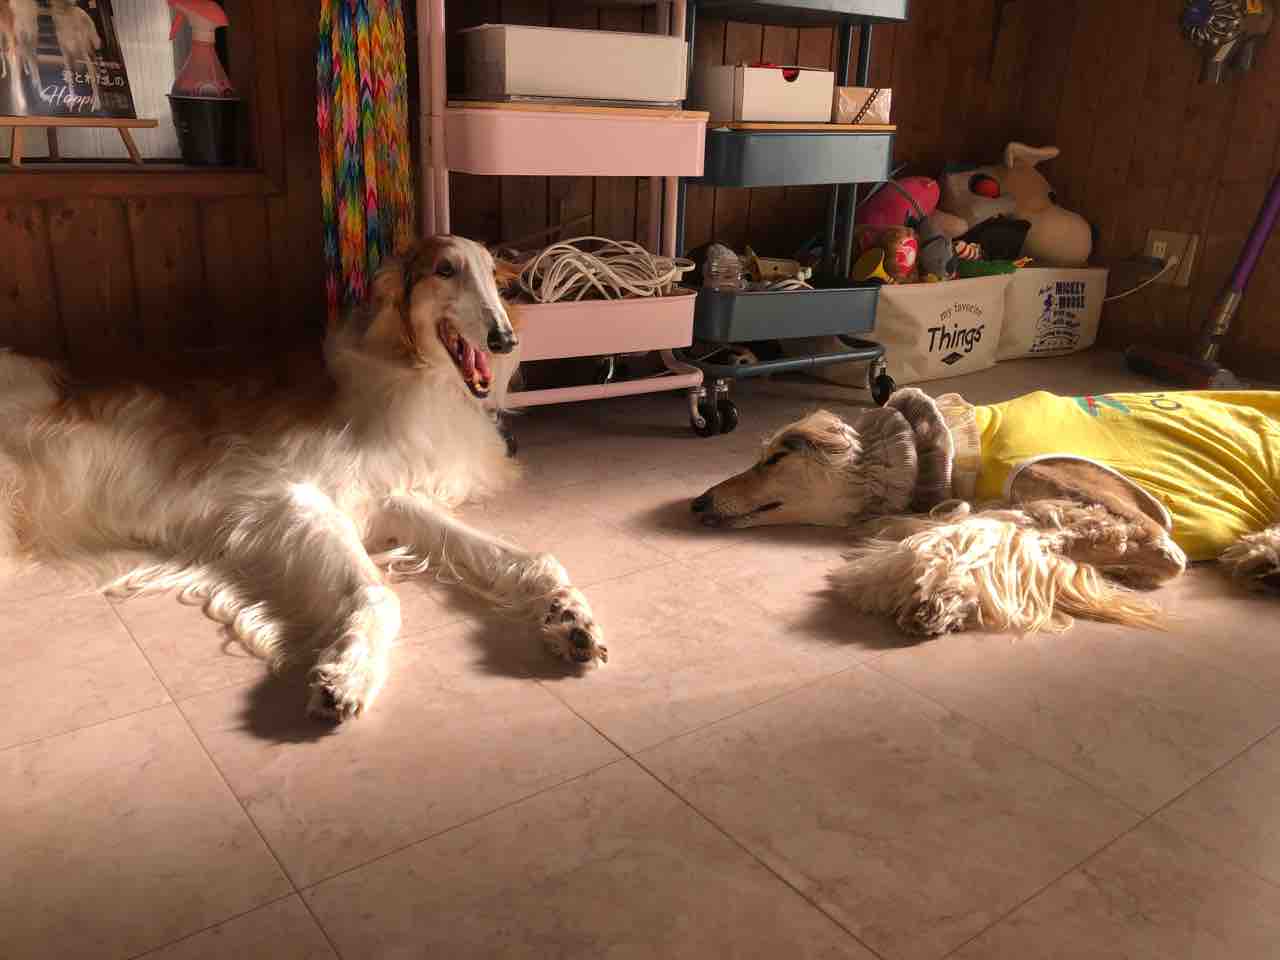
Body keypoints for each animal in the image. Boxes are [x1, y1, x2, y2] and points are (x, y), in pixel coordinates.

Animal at [0, 235, 606, 721]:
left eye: (493, 276)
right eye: (445, 270)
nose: (504, 339)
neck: (409, 377)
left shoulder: (390, 496)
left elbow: (531, 558)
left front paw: (569, 615)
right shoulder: (290, 496)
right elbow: (379, 593)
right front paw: (349, 674)